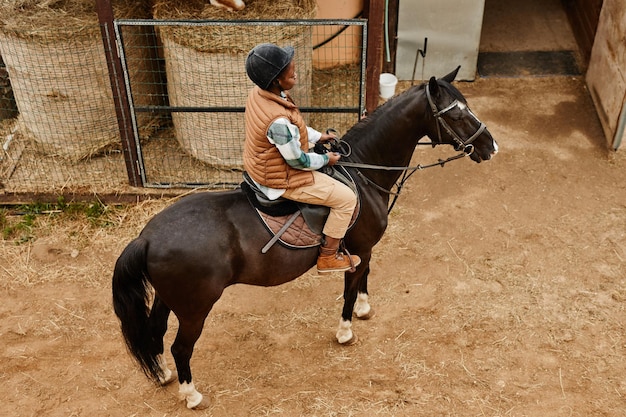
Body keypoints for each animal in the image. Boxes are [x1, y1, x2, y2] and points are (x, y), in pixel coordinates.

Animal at [111, 66, 498, 408]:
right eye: (458, 113)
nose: (491, 146)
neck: (363, 170)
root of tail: (147, 237)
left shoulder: (364, 249)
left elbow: (365, 275)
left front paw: (364, 308)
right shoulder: (360, 247)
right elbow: (350, 286)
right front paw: (345, 330)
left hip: (168, 298)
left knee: (155, 331)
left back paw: (163, 375)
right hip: (195, 308)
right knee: (180, 347)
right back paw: (191, 395)